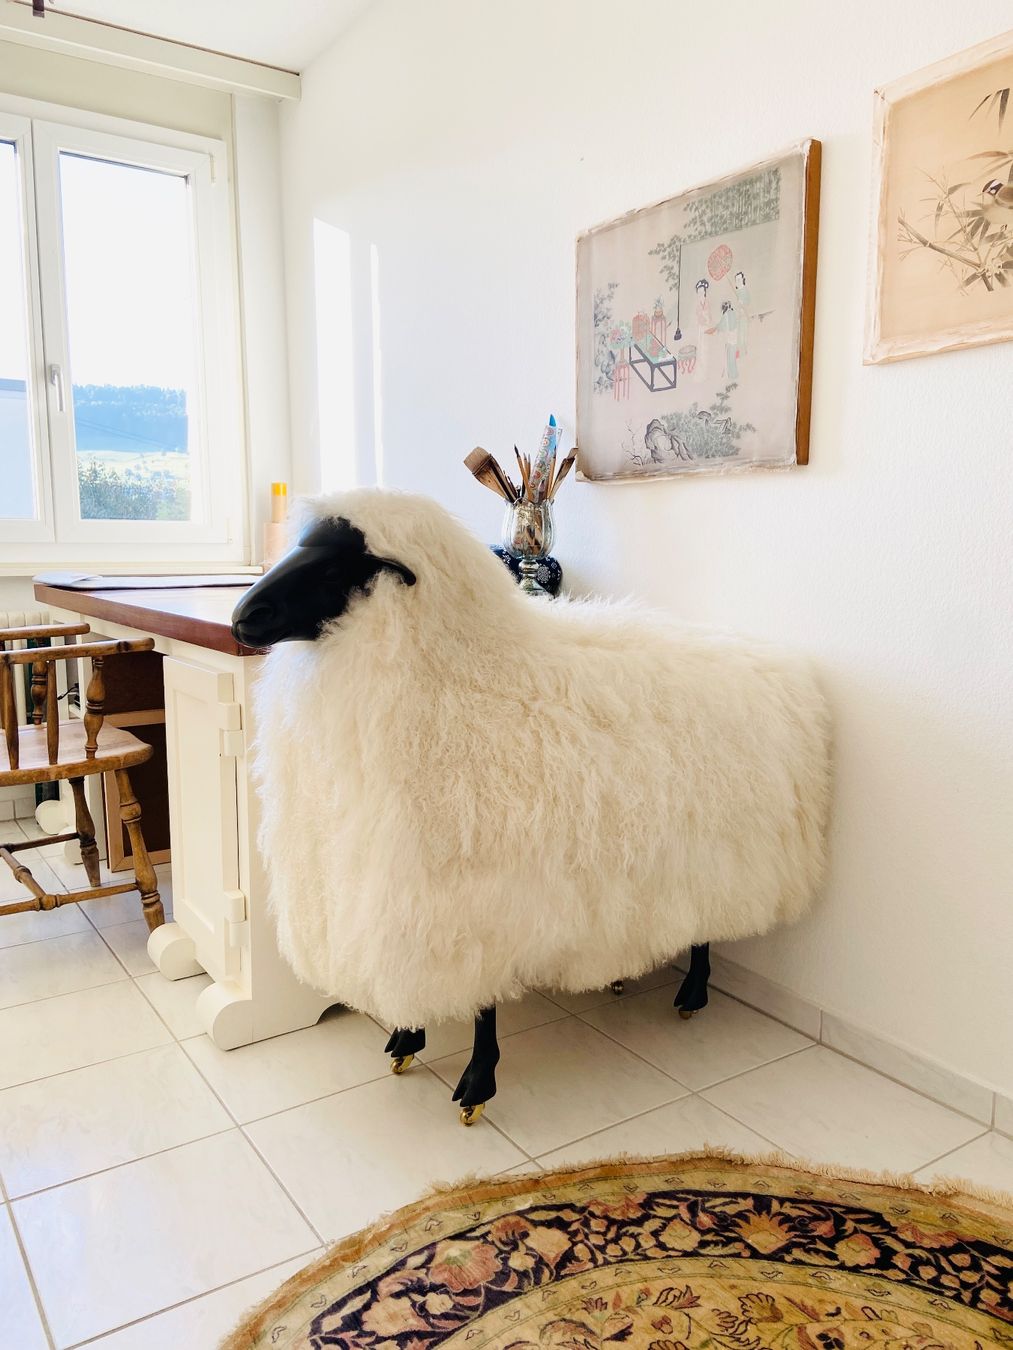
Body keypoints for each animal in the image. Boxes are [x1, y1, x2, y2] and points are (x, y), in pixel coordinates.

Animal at [232, 489, 832, 1124]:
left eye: (334, 569)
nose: (240, 616)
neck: (464, 671)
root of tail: (774, 655)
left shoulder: (473, 902)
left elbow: (482, 1005)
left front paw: (477, 1083)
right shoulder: (402, 900)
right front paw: (408, 1038)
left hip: (727, 852)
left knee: (705, 931)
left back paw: (693, 993)